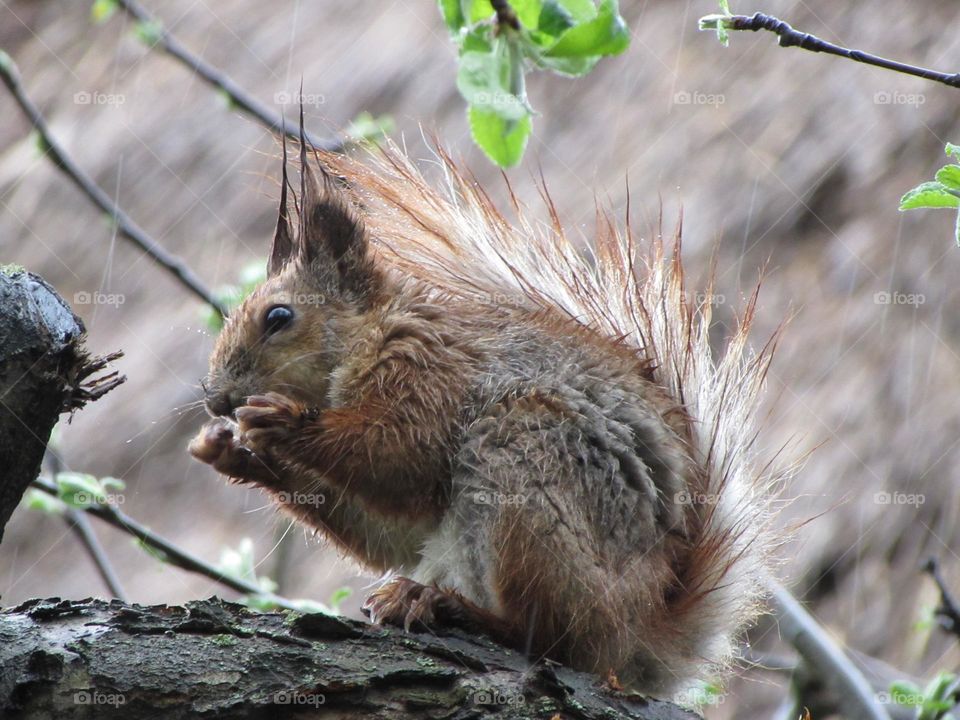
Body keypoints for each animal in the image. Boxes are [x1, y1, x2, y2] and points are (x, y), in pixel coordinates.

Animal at [189, 126, 788, 700]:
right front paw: (229, 452)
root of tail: (642, 638)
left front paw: (283, 421)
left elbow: (396, 456)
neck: (379, 330)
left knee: (558, 641)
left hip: (523, 462)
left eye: (278, 317)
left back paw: (450, 608)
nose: (216, 399)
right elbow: (386, 531)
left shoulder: (433, 373)